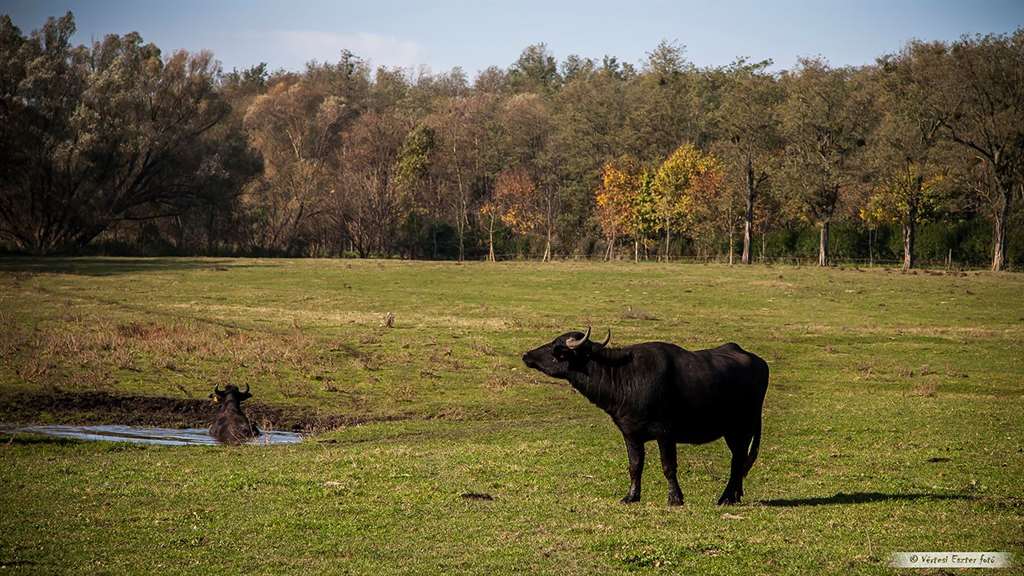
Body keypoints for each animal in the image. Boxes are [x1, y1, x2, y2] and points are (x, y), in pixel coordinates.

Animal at [520, 325, 770, 504]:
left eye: (556, 348)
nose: (526, 355)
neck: (625, 376)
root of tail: (759, 362)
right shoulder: (630, 433)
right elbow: (635, 465)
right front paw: (631, 496)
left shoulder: (665, 433)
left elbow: (668, 466)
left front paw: (675, 498)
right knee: (739, 461)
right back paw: (734, 496)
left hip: (742, 428)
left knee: (738, 461)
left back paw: (726, 497)